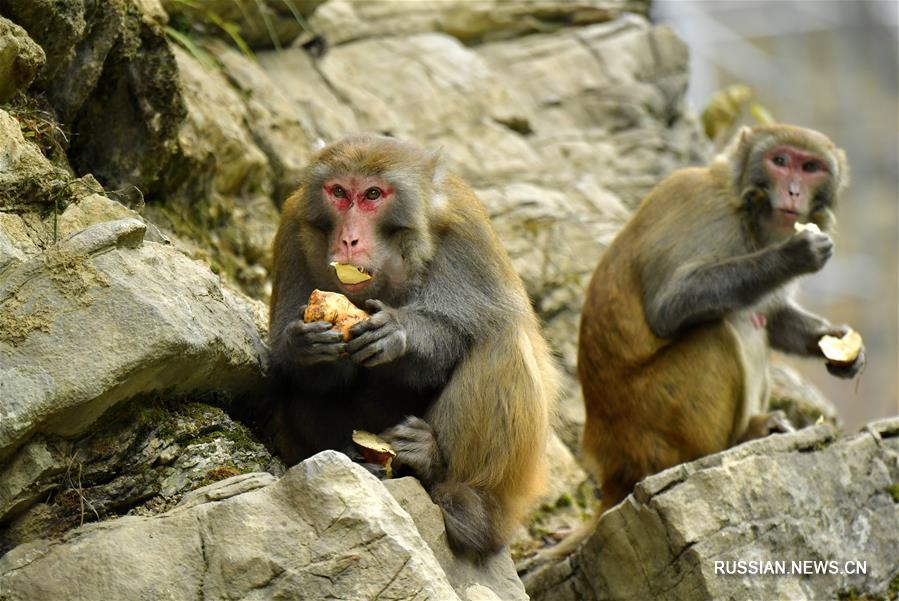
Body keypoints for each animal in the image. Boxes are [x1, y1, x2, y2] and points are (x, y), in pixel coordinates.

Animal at [266, 134, 556, 556]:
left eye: (372, 194)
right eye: (338, 192)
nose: (348, 239)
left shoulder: (469, 233)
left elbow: (473, 326)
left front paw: (398, 334)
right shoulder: (292, 227)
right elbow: (299, 366)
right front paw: (302, 346)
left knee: (504, 340)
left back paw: (461, 498)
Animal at [576, 123, 864, 516]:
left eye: (810, 168)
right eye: (780, 161)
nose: (793, 191)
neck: (744, 207)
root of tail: (614, 471)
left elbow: (773, 318)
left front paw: (840, 348)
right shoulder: (706, 212)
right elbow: (669, 306)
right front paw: (791, 255)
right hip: (652, 421)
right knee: (718, 330)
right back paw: (734, 441)